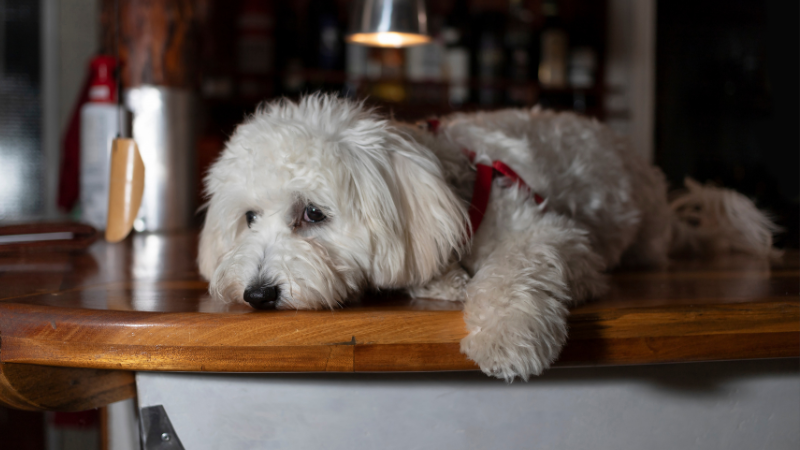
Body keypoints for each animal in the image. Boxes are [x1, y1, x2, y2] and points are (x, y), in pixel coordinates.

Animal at [197, 94, 780, 380]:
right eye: (250, 217)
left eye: (314, 213)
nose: (257, 294)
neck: (451, 183)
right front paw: (445, 281)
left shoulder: (555, 234)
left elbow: (516, 269)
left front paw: (506, 338)